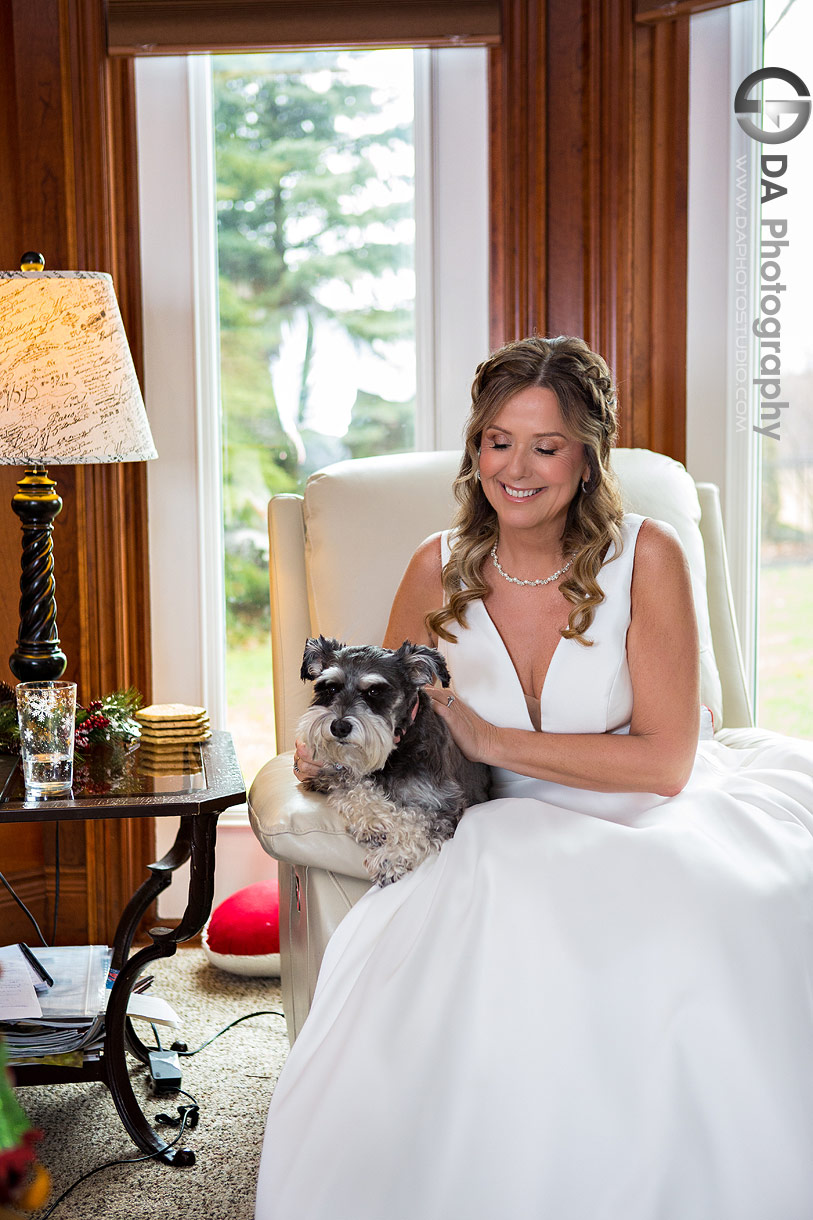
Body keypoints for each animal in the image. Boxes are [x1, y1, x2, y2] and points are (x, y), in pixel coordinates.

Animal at [297, 639, 488, 888]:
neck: (396, 750)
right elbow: (358, 789)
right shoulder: (341, 773)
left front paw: (390, 857)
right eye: (330, 688)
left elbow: (418, 823)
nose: (339, 727)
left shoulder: (445, 803)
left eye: (374, 691)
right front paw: (376, 821)